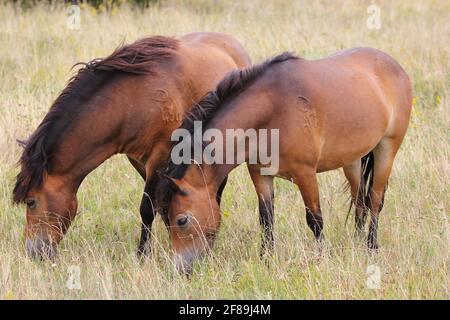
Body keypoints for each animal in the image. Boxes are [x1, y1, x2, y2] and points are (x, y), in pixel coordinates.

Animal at [13, 32, 250, 258]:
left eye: (31, 201)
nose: (32, 252)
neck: (132, 100)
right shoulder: (139, 160)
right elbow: (161, 203)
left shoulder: (161, 157)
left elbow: (147, 208)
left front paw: (142, 254)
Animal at [157, 48, 412, 274]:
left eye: (181, 220)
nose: (178, 269)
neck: (271, 112)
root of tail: (396, 67)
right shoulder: (260, 174)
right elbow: (266, 220)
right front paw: (266, 260)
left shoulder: (305, 174)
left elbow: (315, 219)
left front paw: (321, 259)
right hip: (352, 160)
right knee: (359, 202)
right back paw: (356, 242)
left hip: (386, 150)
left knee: (375, 201)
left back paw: (371, 247)